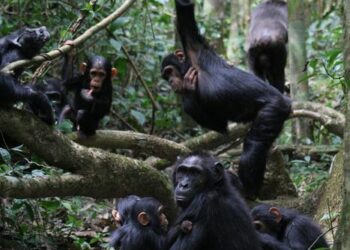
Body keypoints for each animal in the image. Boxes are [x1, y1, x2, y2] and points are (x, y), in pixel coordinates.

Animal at [161, 0, 290, 199]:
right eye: (165, 76)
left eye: (169, 71)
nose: (171, 82)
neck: (191, 66)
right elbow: (219, 125)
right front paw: (188, 91)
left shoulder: (194, 47)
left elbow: (185, 13)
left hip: (275, 108)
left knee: (254, 145)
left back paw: (247, 189)